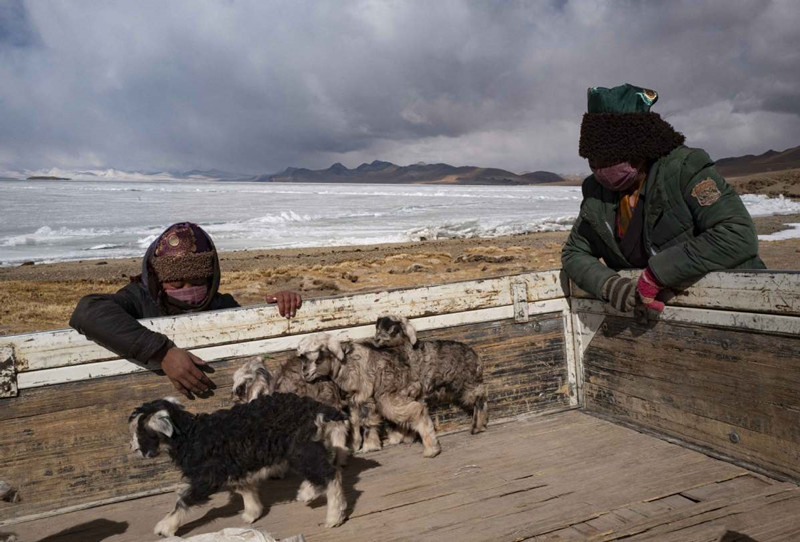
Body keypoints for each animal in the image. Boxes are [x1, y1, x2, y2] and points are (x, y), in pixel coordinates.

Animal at [128, 394, 347, 537]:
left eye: (141, 432)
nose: (133, 449)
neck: (189, 436)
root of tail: (314, 408)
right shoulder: (232, 466)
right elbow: (244, 488)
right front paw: (252, 512)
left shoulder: (208, 476)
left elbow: (184, 499)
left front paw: (165, 526)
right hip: (305, 447)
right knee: (322, 471)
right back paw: (310, 493)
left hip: (299, 448)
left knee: (329, 475)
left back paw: (332, 515)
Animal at [297, 333, 441, 458]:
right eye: (303, 357)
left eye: (319, 358)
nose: (305, 374)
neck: (345, 364)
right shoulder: (353, 399)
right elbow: (354, 422)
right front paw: (354, 446)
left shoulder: (364, 395)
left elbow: (367, 421)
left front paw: (369, 446)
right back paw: (402, 438)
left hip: (387, 394)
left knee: (417, 410)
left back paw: (431, 449)